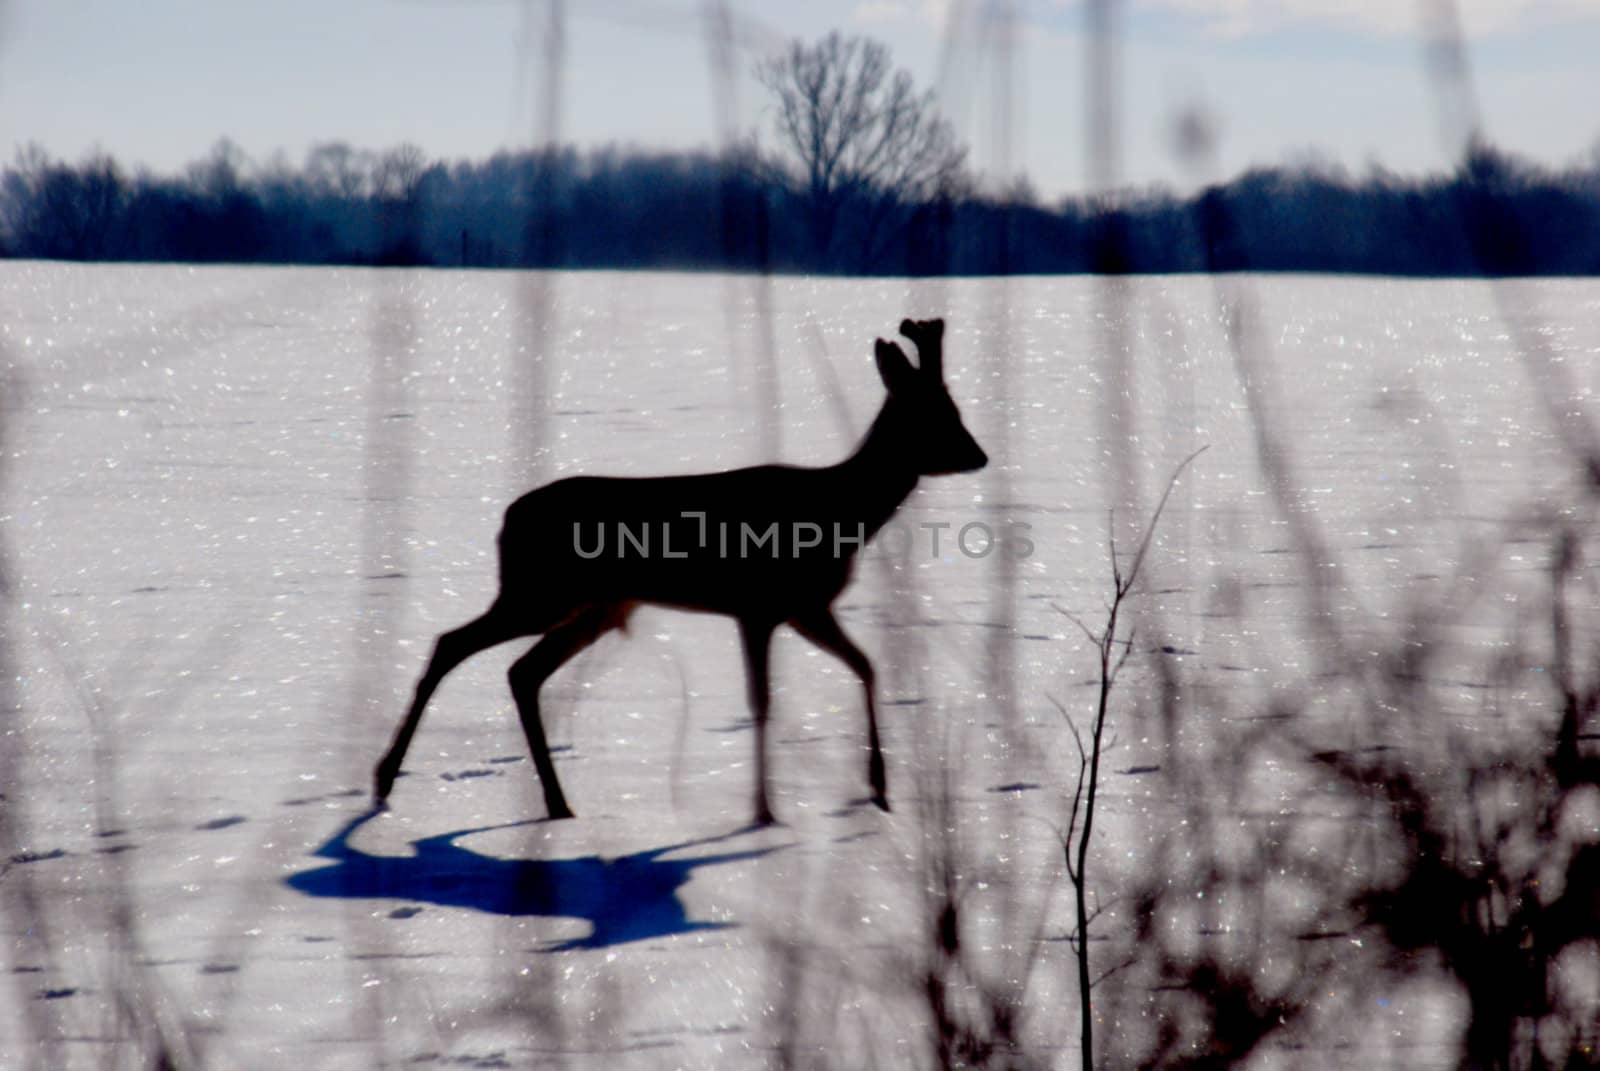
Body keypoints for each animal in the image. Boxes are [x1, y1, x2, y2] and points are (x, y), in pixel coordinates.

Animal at [374, 313, 985, 826]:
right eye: (937, 414)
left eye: (955, 409)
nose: (979, 457)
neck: (840, 509)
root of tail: (506, 518)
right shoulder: (758, 606)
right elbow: (762, 703)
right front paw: (763, 811)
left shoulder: (806, 608)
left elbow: (867, 668)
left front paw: (880, 789)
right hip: (541, 594)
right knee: (453, 643)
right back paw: (384, 779)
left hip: (592, 608)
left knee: (522, 672)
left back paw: (557, 804)